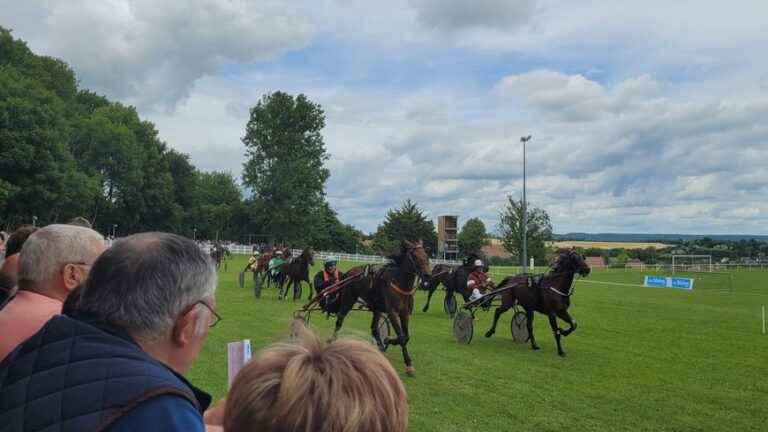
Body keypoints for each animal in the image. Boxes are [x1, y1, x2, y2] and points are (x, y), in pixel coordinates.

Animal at [328, 238, 428, 376]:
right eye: (415, 256)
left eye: (426, 255)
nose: (427, 275)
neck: (399, 283)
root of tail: (350, 272)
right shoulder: (392, 313)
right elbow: (402, 337)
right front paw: (408, 364)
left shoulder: (404, 313)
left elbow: (406, 336)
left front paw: (389, 341)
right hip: (349, 299)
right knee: (340, 318)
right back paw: (333, 339)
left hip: (376, 308)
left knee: (374, 328)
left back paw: (379, 345)